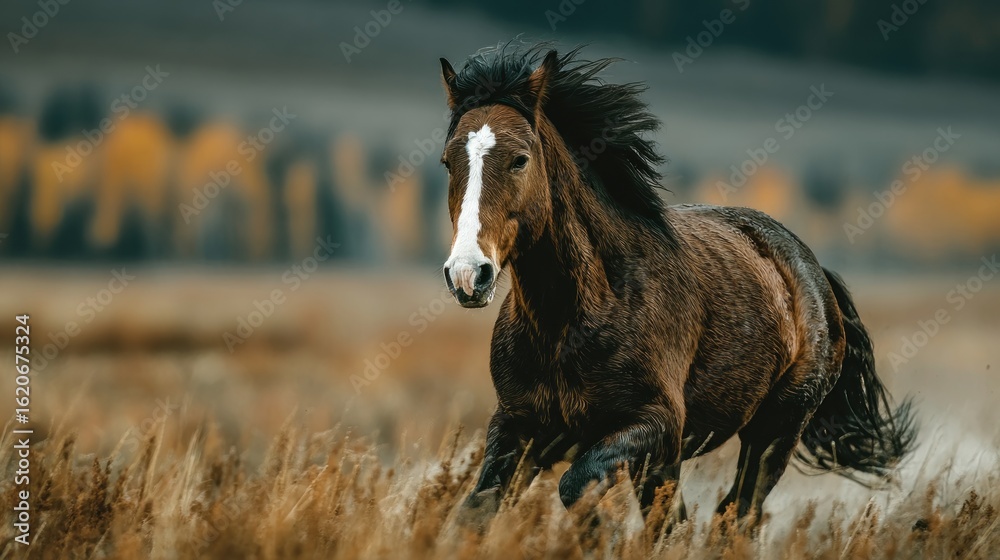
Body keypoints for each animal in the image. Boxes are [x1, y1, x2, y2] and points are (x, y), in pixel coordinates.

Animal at [437, 44, 916, 527]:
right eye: (447, 162)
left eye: (520, 158)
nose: (467, 274)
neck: (572, 323)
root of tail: (814, 272)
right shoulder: (520, 426)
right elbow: (476, 510)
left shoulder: (656, 425)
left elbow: (576, 485)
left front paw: (601, 531)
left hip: (776, 428)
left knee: (737, 513)